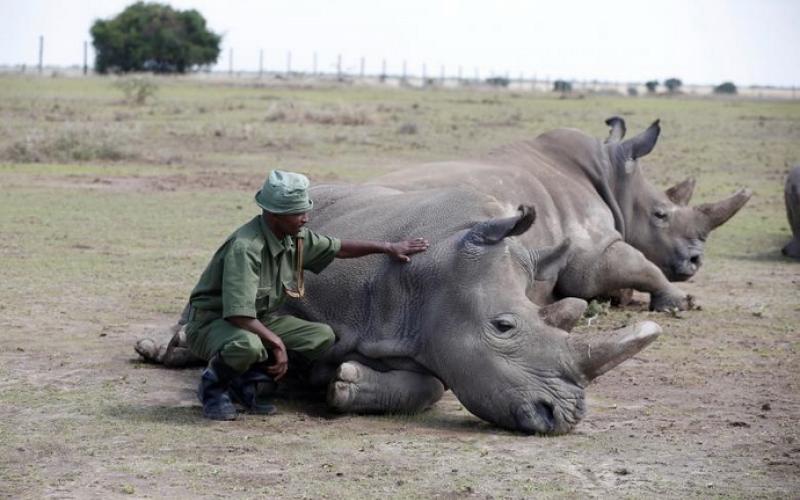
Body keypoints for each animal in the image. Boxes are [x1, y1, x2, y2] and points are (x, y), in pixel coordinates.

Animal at [139, 186, 664, 436]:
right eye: (503, 326)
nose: (565, 417)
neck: (437, 270)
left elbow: (430, 386)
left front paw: (344, 384)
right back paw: (162, 351)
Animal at [376, 118, 752, 310]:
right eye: (661, 215)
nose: (695, 261)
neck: (611, 174)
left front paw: (621, 297)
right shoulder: (591, 251)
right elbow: (640, 265)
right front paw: (680, 303)